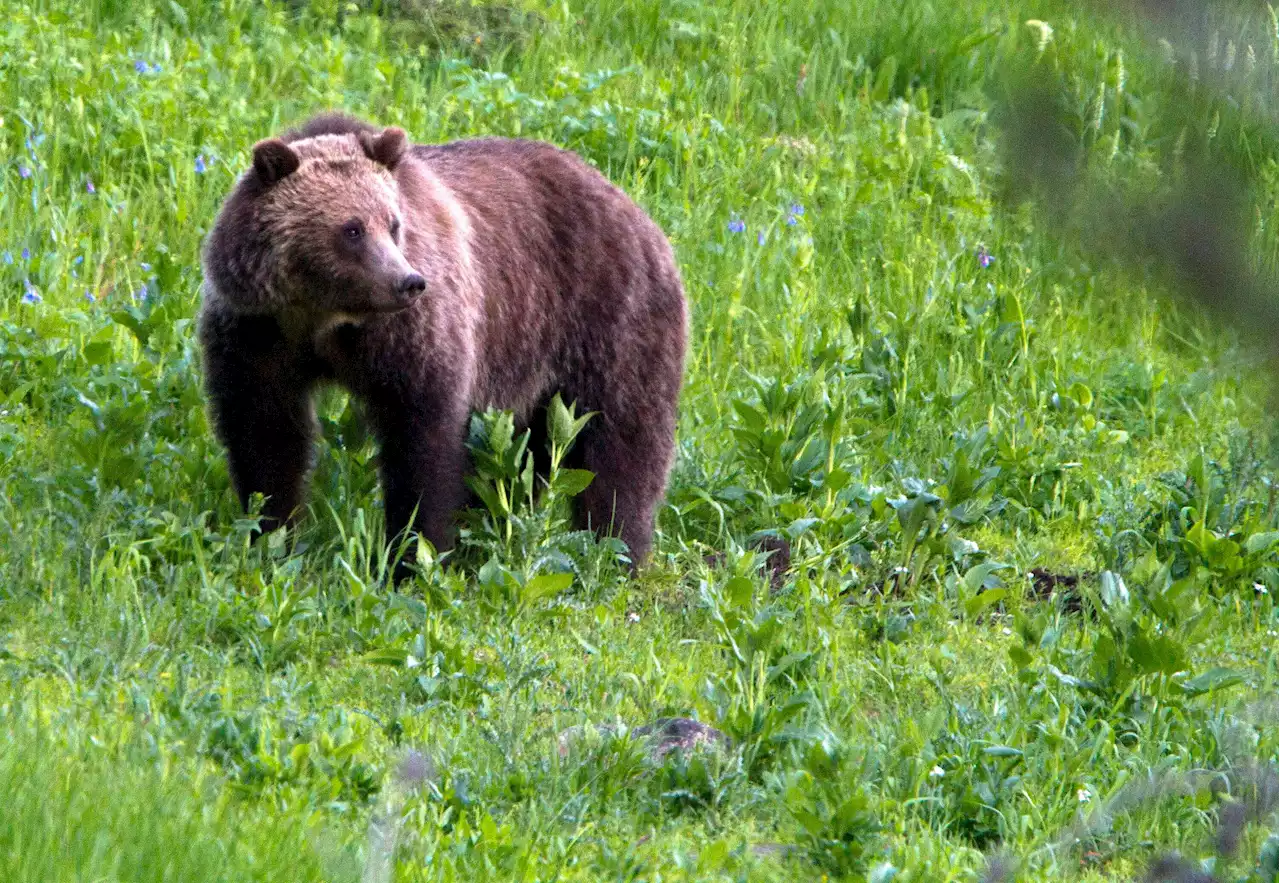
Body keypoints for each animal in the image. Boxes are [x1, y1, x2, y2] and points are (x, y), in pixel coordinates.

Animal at [197, 111, 691, 578]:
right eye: (352, 229)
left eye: (393, 224)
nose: (408, 282)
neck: (324, 318)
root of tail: (634, 208)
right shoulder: (257, 334)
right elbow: (265, 432)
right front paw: (270, 535)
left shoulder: (410, 337)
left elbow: (422, 439)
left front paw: (413, 556)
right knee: (530, 451)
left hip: (607, 317)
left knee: (623, 439)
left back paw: (617, 549)